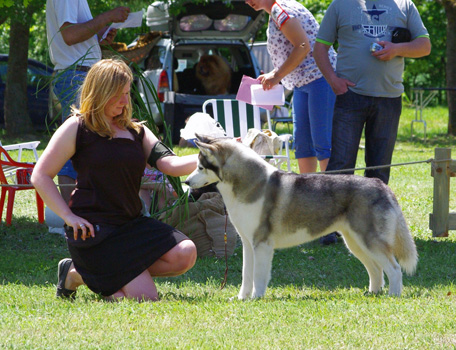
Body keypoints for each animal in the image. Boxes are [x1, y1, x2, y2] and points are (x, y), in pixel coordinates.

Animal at [185, 134, 416, 298]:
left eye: (201, 167)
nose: (186, 182)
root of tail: (382, 185)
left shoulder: (262, 244)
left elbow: (258, 276)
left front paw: (257, 298)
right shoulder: (248, 244)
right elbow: (246, 274)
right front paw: (243, 298)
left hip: (369, 241)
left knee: (394, 269)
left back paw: (393, 296)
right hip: (355, 243)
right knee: (376, 269)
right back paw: (372, 293)